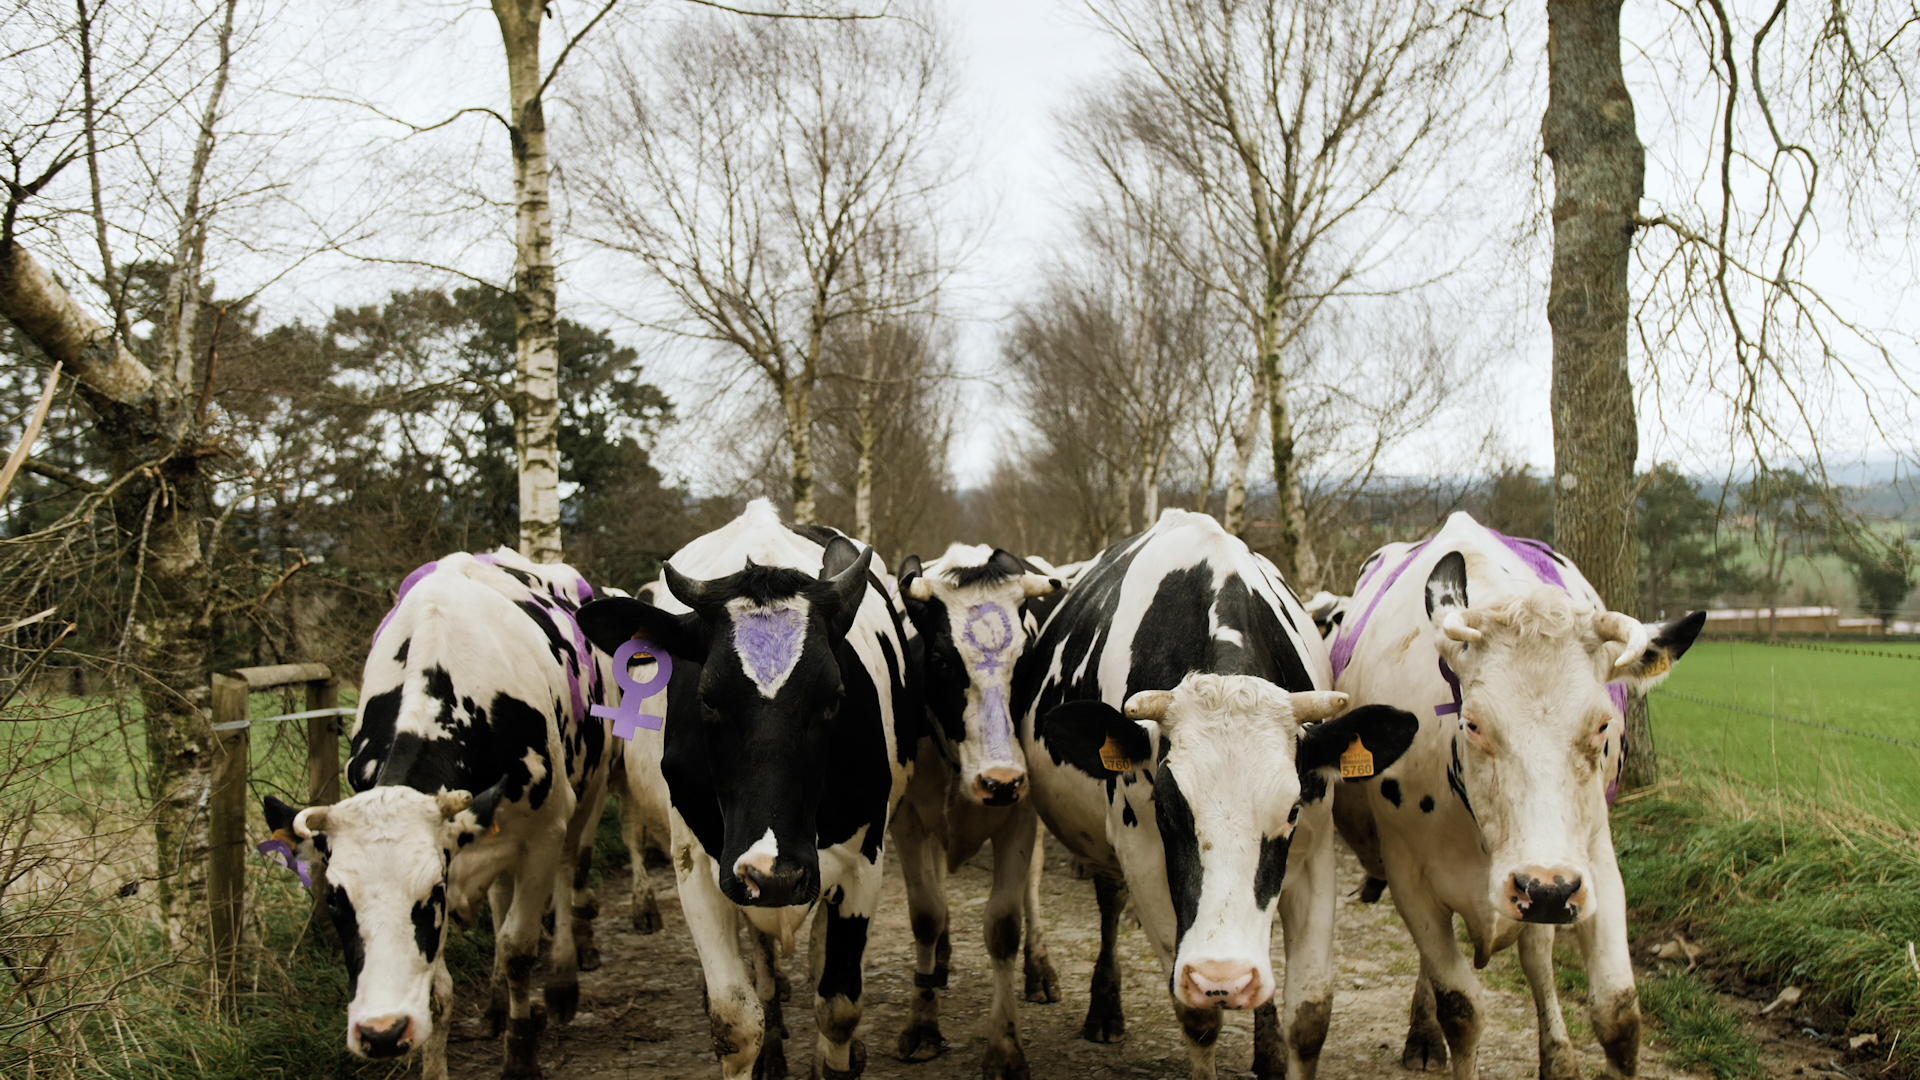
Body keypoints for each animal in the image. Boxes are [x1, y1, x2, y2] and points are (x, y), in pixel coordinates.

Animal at [261, 549, 616, 1080]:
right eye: (333, 901)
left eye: (431, 894)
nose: (381, 1033)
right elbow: (438, 990)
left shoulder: (543, 832)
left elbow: (518, 948)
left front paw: (520, 1056)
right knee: (501, 898)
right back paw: (495, 1005)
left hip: (588, 790)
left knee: (570, 871)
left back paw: (560, 984)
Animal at [576, 498, 914, 1080]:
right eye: (708, 697)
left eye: (834, 696)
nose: (775, 873)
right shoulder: (697, 865)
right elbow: (735, 1021)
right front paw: (760, 1039)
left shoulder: (864, 858)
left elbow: (838, 1006)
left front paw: (836, 1057)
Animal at [886, 545, 1063, 1074]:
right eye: (941, 661)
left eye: (1026, 660)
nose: (999, 781)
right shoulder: (906, 820)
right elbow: (926, 913)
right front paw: (922, 1026)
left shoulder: (1020, 815)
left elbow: (1004, 925)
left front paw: (1005, 1047)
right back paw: (940, 960)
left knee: (1032, 886)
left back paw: (1040, 970)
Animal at [1010, 508, 1421, 1080]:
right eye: (1164, 807)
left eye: (1291, 808)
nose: (1225, 975)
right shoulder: (1143, 855)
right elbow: (1198, 1017)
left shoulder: (1315, 851)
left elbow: (1310, 1016)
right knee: (1105, 897)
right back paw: (1100, 1006)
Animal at [1325, 511, 1705, 1080]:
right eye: (1473, 723)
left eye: (1602, 724)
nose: (1546, 889)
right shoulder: (1408, 872)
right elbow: (1461, 1007)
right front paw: (1441, 1029)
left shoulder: (1591, 859)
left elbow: (1617, 1015)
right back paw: (1423, 1034)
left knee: (1537, 959)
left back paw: (1557, 1056)